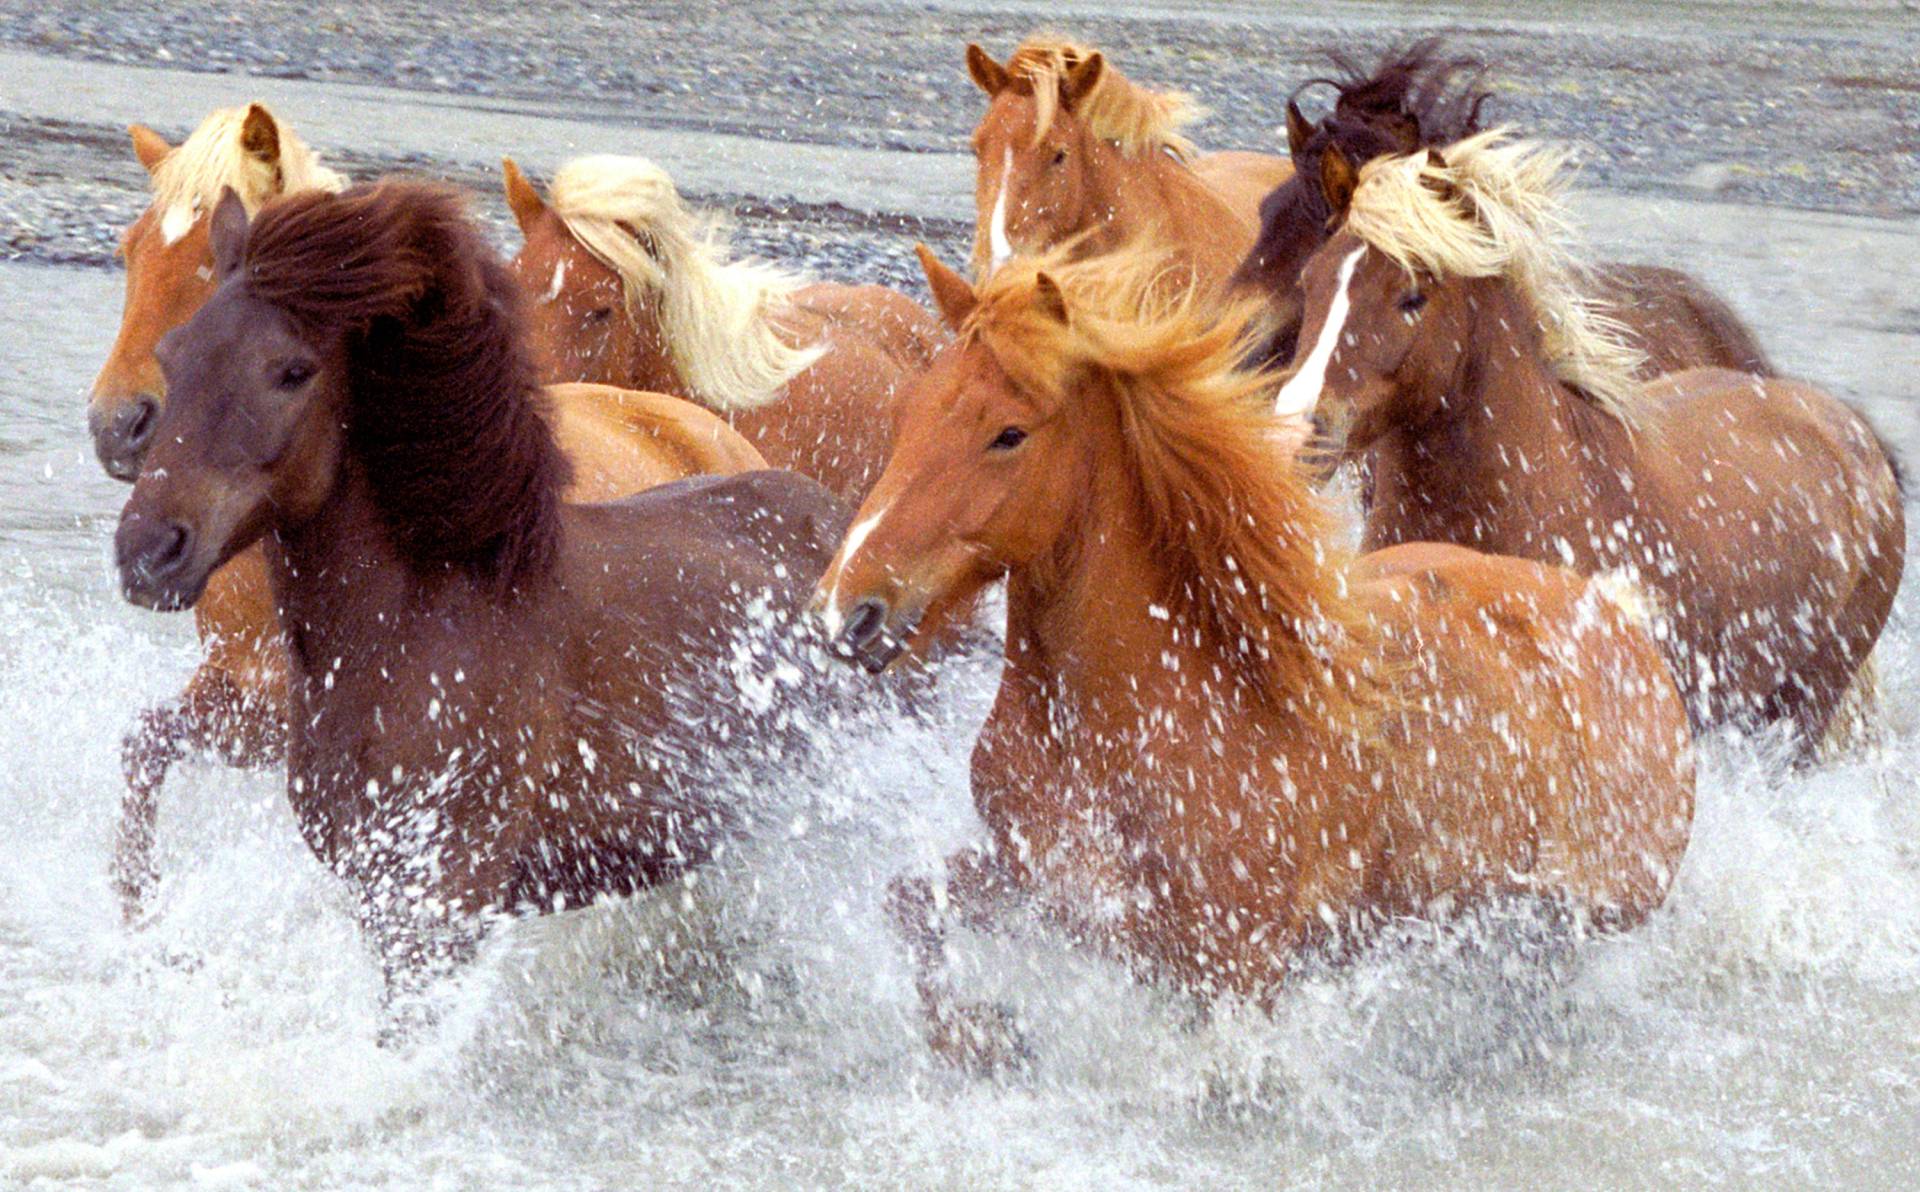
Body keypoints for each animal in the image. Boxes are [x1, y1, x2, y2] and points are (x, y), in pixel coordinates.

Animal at [810, 244, 1694, 1070]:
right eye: (911, 415)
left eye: (1009, 434)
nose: (849, 611)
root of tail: (1621, 622)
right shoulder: (1041, 881)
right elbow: (911, 906)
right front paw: (984, 1036)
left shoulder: (1230, 962)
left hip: (1574, 920)